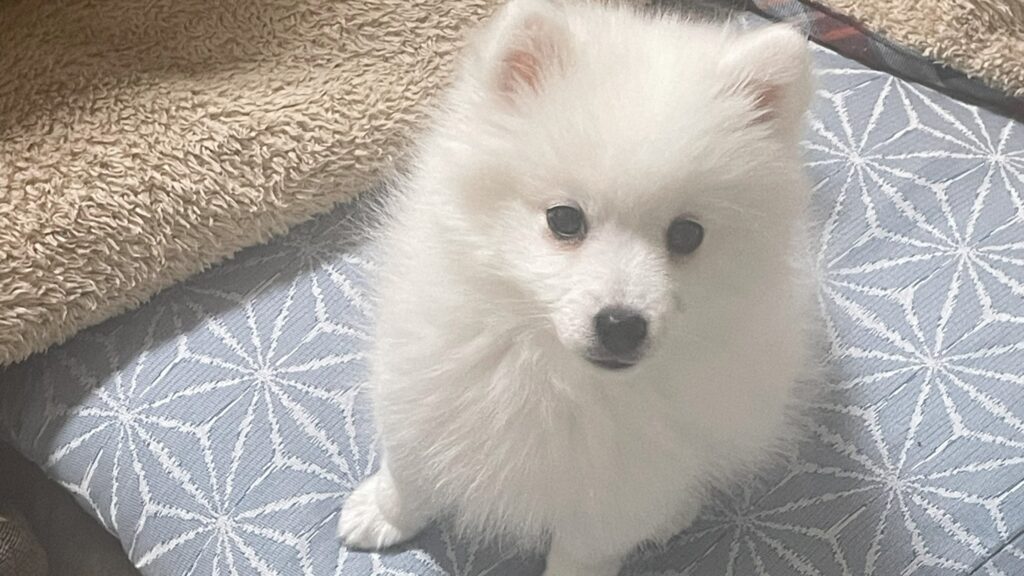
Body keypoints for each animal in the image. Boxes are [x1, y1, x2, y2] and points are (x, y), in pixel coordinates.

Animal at [339, 2, 819, 569]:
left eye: (687, 234)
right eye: (564, 220)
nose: (621, 324)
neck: (556, 372)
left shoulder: (622, 489)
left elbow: (584, 554)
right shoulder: (421, 386)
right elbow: (409, 472)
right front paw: (383, 513)